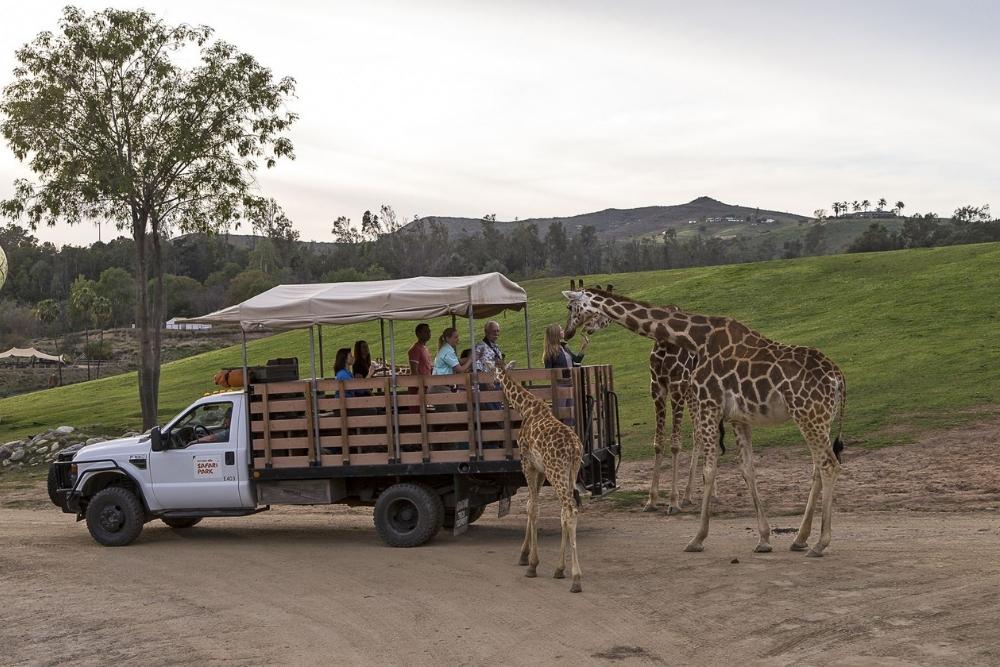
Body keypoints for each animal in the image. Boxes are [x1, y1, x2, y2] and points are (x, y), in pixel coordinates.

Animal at [490, 360, 584, 596]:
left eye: (491, 371)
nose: (493, 383)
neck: (526, 407)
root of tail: (574, 448)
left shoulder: (527, 463)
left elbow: (532, 508)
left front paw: (532, 564)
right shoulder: (540, 470)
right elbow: (532, 505)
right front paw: (527, 557)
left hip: (557, 471)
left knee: (570, 511)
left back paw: (576, 579)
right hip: (569, 472)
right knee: (565, 512)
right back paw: (560, 570)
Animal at [564, 288, 844, 560]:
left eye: (571, 307)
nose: (567, 333)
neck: (695, 339)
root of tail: (838, 378)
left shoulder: (709, 403)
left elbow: (709, 470)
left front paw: (697, 538)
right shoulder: (737, 418)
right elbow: (747, 470)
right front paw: (764, 539)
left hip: (808, 415)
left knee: (829, 464)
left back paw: (820, 543)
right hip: (819, 418)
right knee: (817, 468)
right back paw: (800, 539)